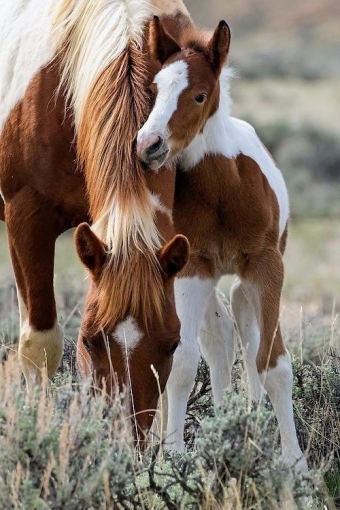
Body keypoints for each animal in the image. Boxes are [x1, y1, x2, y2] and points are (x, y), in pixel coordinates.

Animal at [136, 15, 308, 470]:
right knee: (218, 341)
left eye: (199, 94)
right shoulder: (193, 268)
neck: (223, 191)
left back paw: (248, 423)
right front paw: (174, 455)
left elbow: (274, 363)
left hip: (244, 281)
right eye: (154, 90)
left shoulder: (267, 266)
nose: (148, 146)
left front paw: (295, 465)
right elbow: (181, 362)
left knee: (242, 334)